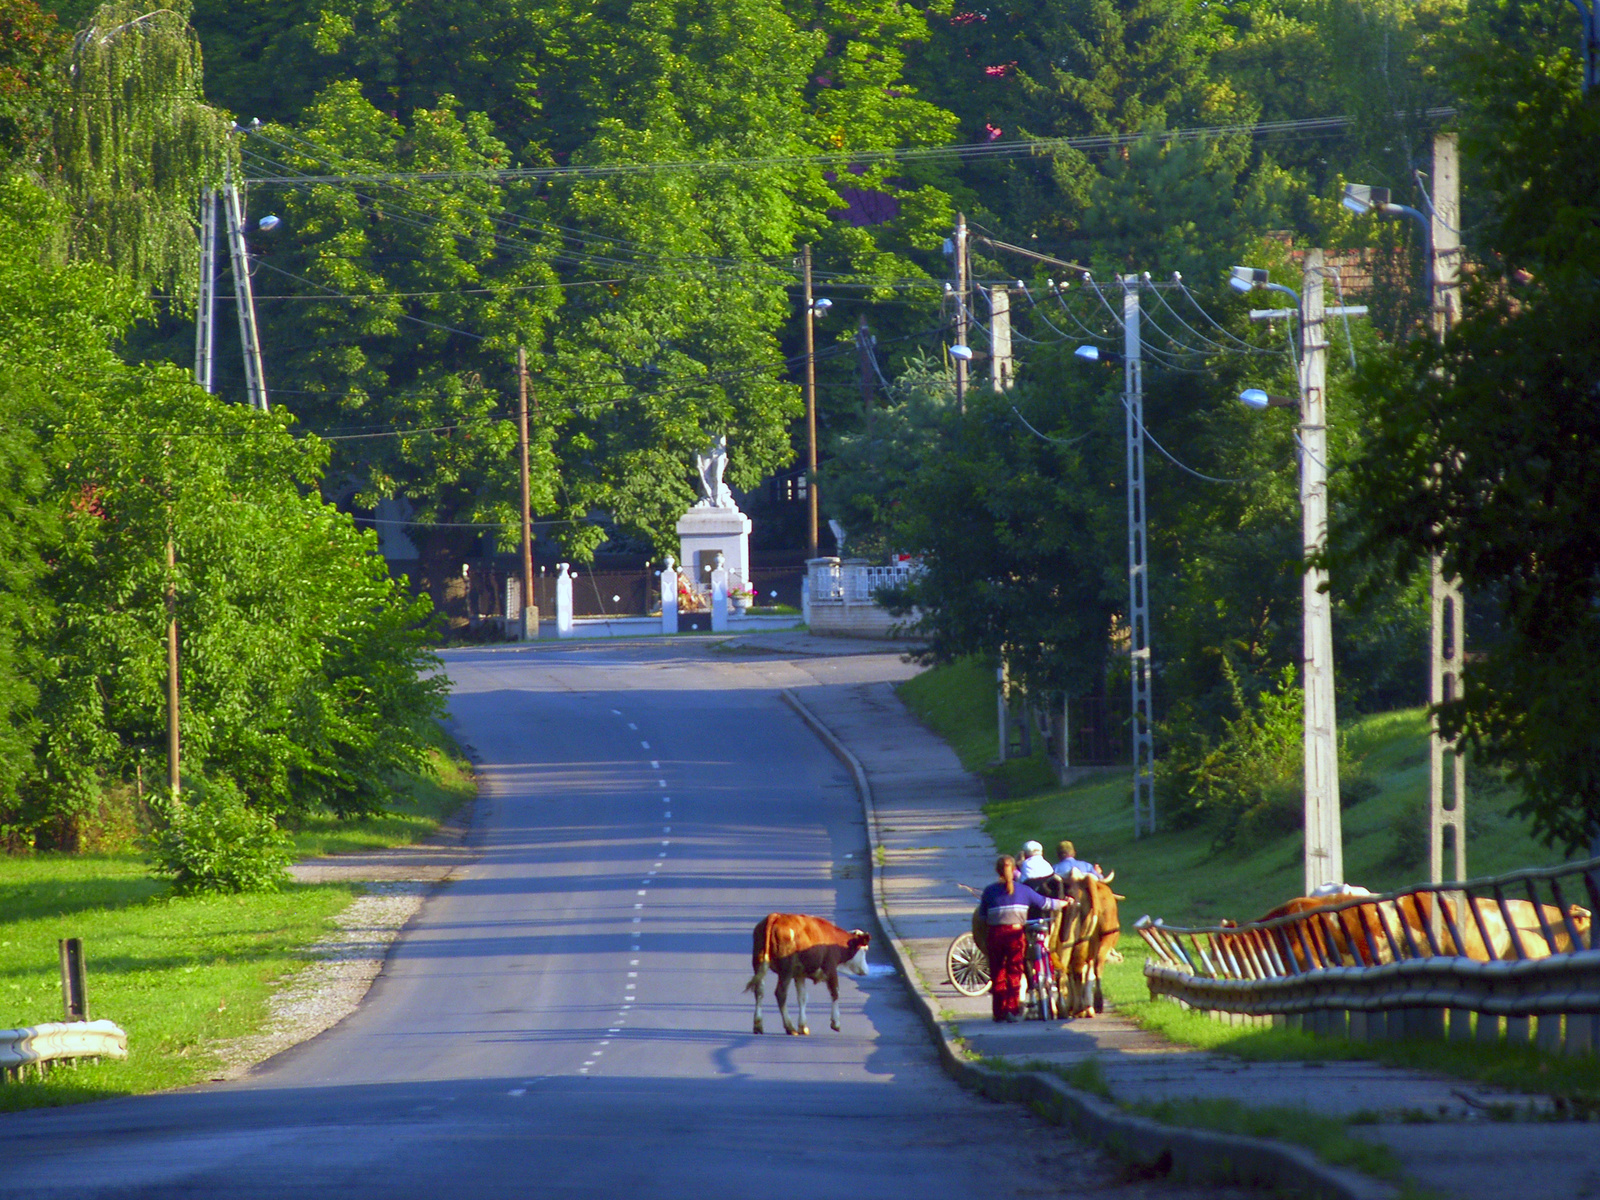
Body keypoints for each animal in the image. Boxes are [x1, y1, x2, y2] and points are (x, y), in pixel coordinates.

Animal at [742, 908, 870, 1036]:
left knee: (759, 991)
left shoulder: (799, 974)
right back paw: (790, 1028)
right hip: (786, 969)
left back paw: (758, 1026)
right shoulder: (830, 968)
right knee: (780, 993)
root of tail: (776, 916)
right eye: (865, 950)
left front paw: (803, 1026)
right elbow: (835, 992)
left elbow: (803, 997)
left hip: (758, 963)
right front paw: (836, 1023)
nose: (867, 971)